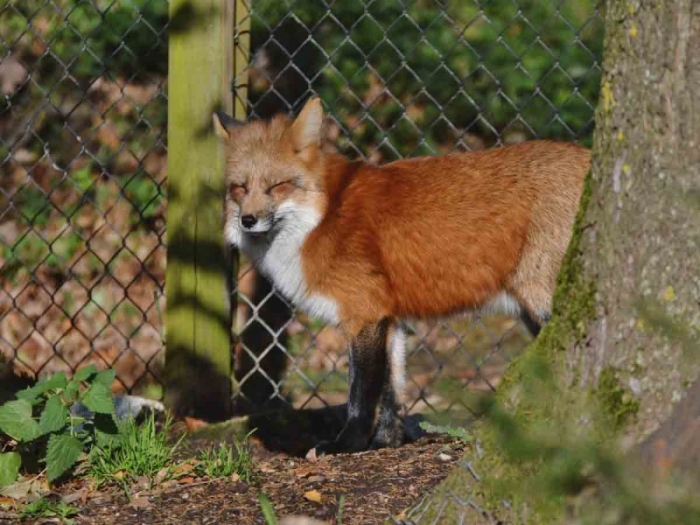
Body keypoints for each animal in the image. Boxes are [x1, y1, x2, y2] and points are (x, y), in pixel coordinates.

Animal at [213, 98, 592, 454]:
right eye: (240, 188)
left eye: (277, 186)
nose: (248, 220)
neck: (323, 217)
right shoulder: (390, 318)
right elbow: (392, 391)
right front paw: (386, 442)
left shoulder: (364, 314)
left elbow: (360, 393)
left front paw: (347, 444)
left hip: (543, 301)